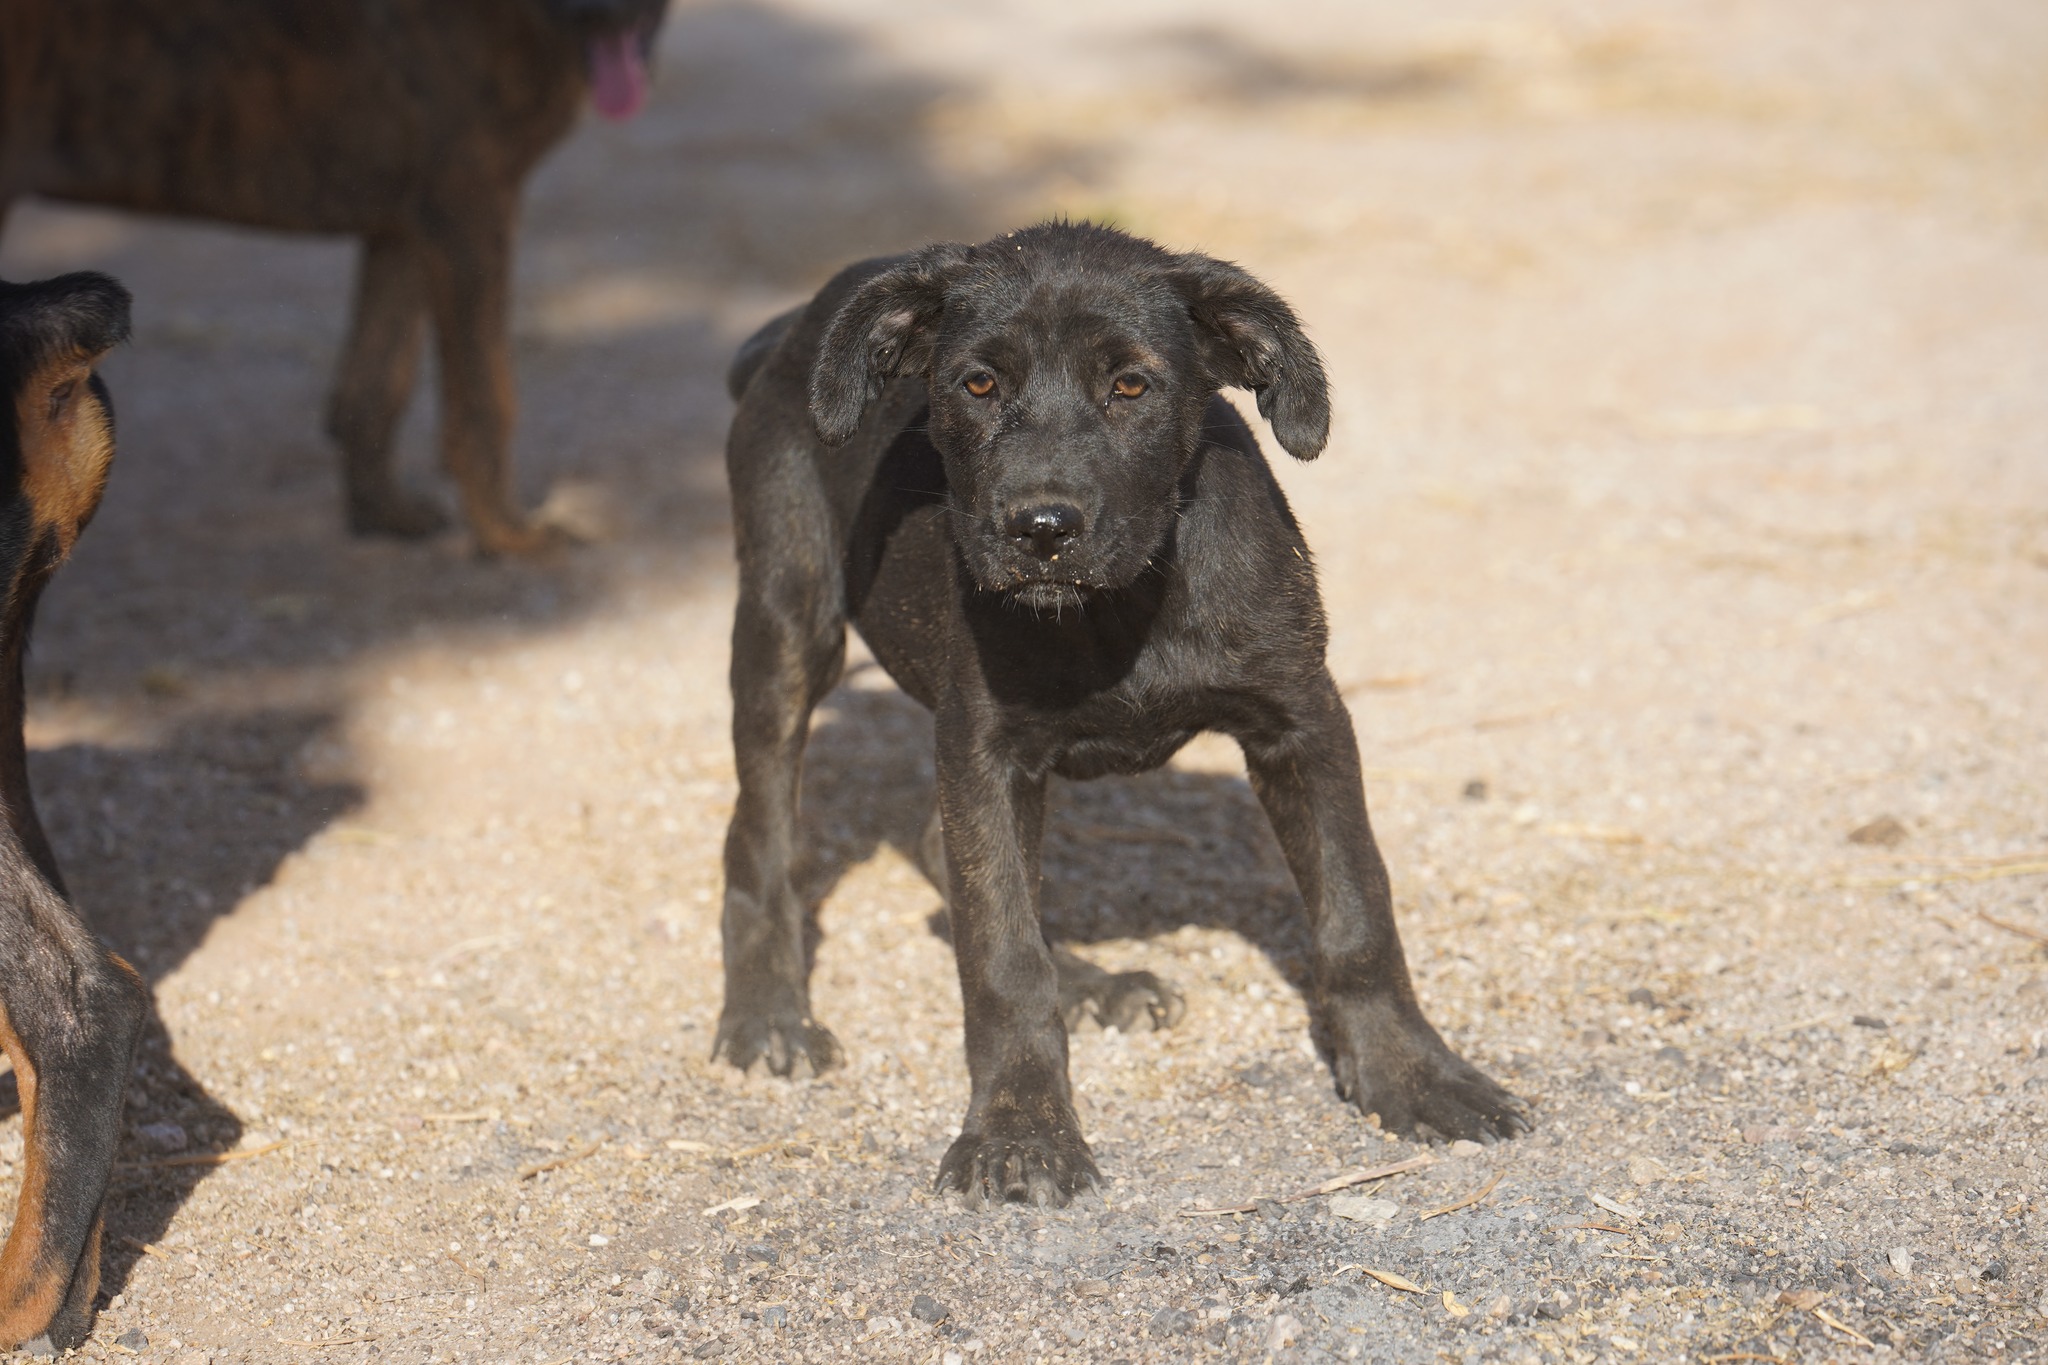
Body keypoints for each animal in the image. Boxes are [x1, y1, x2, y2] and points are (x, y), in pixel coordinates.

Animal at [0, 1, 663, 556]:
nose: (606, 12)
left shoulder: (404, 227)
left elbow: (376, 385)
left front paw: (382, 514)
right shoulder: (471, 207)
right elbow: (486, 397)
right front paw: (509, 535)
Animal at [712, 222, 1531, 1203]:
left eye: (1132, 385)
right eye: (977, 385)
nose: (1040, 528)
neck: (1125, 603)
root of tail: (790, 330)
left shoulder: (1305, 721)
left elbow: (1357, 908)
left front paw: (1410, 1074)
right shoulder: (985, 749)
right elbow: (1001, 955)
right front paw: (1020, 1129)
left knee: (934, 847)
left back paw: (1092, 982)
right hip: (788, 624)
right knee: (760, 836)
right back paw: (768, 1015)